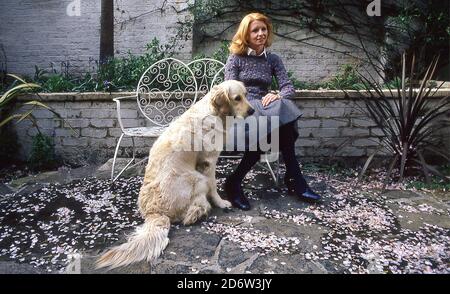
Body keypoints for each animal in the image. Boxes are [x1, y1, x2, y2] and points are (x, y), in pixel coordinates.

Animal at [96, 80, 253, 268]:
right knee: (189, 213)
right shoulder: (209, 162)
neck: (214, 111)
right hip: (197, 178)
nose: (252, 111)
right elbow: (214, 187)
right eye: (237, 98)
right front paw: (221, 203)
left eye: (246, 94)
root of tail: (153, 212)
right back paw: (199, 212)